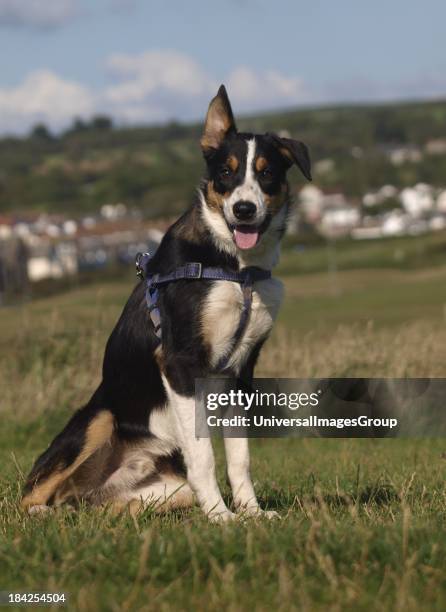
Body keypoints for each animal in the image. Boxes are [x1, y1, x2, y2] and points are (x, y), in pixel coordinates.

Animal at [20, 83, 312, 520]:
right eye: (225, 172)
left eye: (266, 173)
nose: (244, 210)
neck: (237, 268)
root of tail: (93, 490)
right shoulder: (180, 362)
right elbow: (204, 456)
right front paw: (222, 517)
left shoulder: (240, 372)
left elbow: (240, 458)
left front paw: (252, 514)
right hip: (100, 418)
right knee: (32, 495)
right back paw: (46, 514)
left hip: (164, 490)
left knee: (91, 506)